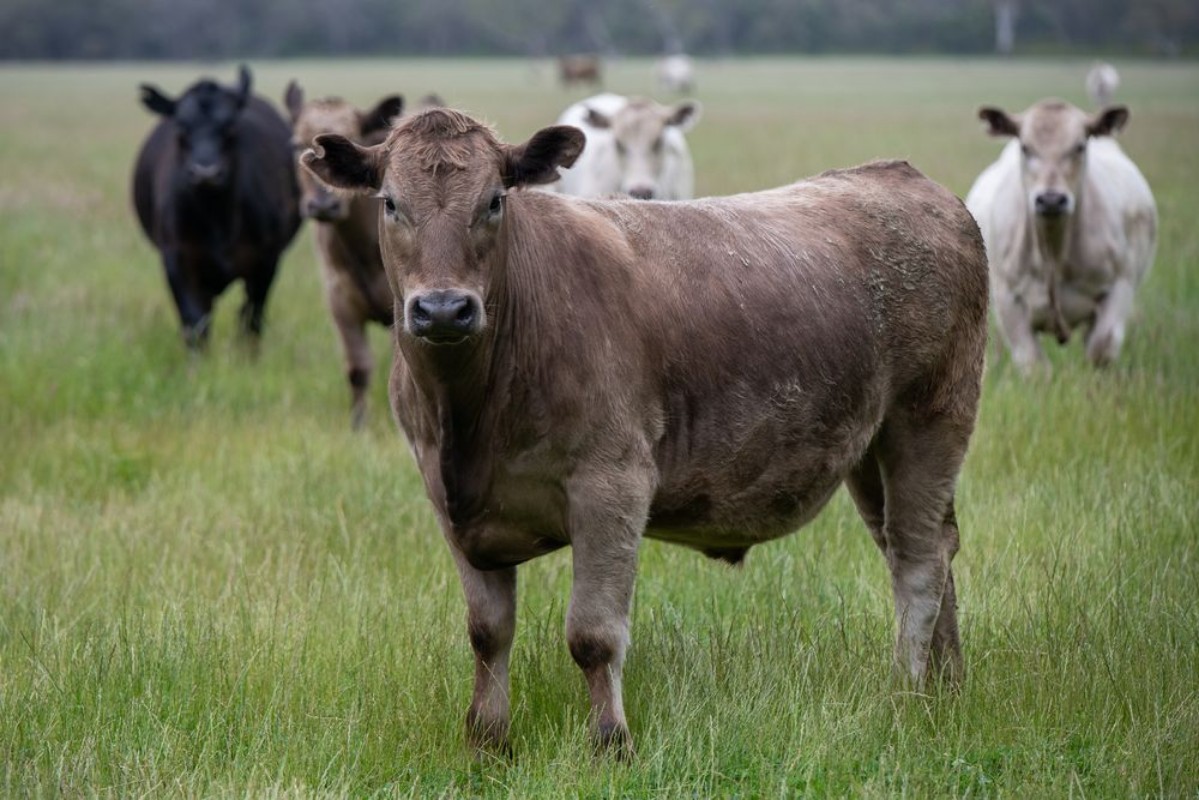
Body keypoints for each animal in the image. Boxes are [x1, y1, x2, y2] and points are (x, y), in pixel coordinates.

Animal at [133, 65, 301, 349]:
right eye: (182, 126)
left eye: (229, 125)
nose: (206, 173)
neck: (217, 217)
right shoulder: (177, 259)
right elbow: (195, 323)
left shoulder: (266, 260)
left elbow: (251, 319)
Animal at [284, 81, 403, 428]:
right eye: (296, 144)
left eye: (357, 138)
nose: (324, 205)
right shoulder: (339, 300)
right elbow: (358, 368)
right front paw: (358, 424)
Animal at [302, 108, 988, 757]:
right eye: (390, 202)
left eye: (494, 200)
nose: (443, 309)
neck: (468, 411)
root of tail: (899, 175)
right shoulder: (448, 499)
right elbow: (488, 631)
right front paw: (488, 742)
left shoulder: (612, 484)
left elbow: (592, 635)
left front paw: (610, 743)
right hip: (869, 452)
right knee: (926, 546)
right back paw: (949, 686)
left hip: (929, 421)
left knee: (919, 561)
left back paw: (905, 693)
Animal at [965, 99, 1157, 374]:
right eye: (1025, 147)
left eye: (1079, 146)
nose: (1051, 199)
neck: (1053, 250)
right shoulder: (1008, 298)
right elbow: (1033, 365)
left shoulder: (1121, 284)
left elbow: (1101, 348)